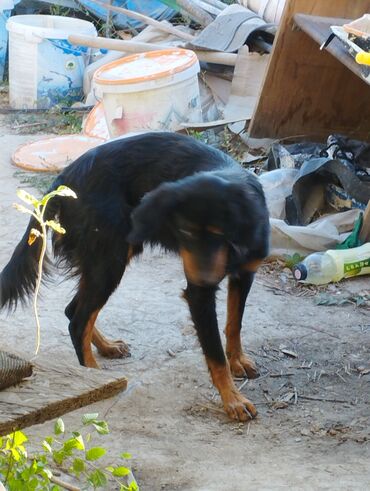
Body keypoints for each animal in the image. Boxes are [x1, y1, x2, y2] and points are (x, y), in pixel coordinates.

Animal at [0, 133, 268, 420]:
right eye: (184, 232)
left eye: (220, 233)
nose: (203, 278)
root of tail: (64, 177)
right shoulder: (199, 294)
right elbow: (215, 354)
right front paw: (233, 400)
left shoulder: (245, 273)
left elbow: (234, 324)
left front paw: (237, 360)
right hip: (111, 258)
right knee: (79, 320)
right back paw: (93, 374)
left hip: (103, 260)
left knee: (74, 310)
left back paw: (106, 347)